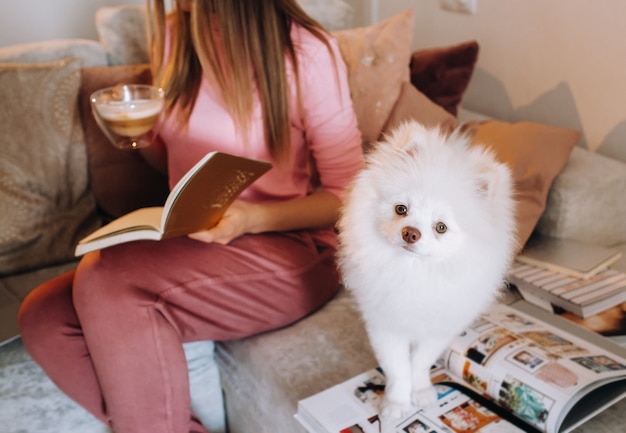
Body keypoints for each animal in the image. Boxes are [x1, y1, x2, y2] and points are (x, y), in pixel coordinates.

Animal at [336, 120, 516, 416]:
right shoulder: (386, 325)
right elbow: (398, 368)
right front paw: (396, 403)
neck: (415, 272)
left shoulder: (439, 328)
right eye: (401, 209)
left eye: (440, 227)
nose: (410, 233)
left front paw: (420, 393)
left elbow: (419, 364)